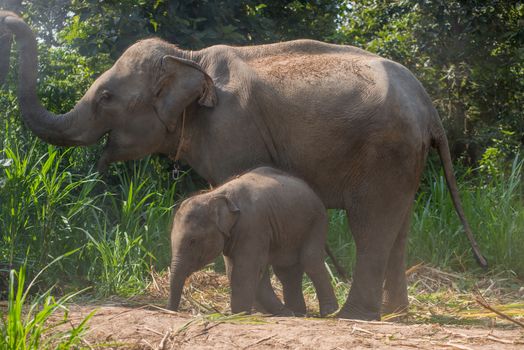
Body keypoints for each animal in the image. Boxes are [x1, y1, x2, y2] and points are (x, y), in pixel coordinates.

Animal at [169, 165, 340, 316]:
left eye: (193, 241)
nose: (171, 311)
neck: (215, 194)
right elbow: (235, 270)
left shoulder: (253, 226)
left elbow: (245, 269)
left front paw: (239, 314)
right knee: (286, 271)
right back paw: (297, 312)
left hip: (317, 222)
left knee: (310, 261)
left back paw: (329, 312)